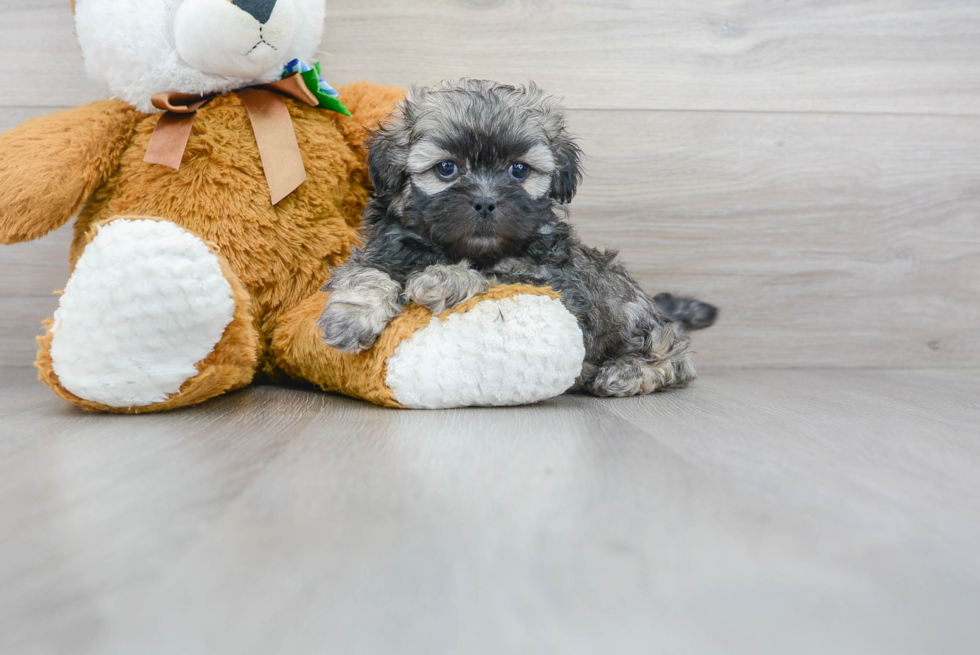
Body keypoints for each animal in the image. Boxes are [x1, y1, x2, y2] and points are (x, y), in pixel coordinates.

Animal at [318, 79, 716, 398]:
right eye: (446, 168)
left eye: (519, 170)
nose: (485, 201)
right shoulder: (384, 250)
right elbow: (365, 273)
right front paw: (350, 316)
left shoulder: (554, 286)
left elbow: (493, 277)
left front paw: (444, 278)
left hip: (639, 324)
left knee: (675, 359)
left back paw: (626, 372)